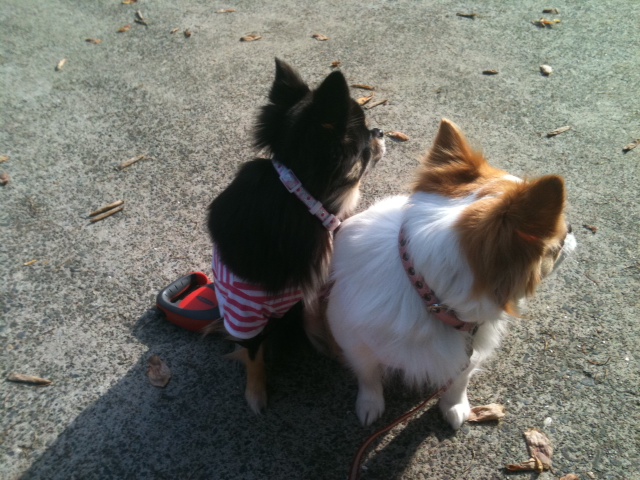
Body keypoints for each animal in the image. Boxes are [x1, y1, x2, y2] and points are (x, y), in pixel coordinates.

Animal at [207, 58, 385, 413]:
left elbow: (318, 321)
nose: (382, 132)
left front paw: (337, 351)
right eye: (366, 143)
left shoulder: (313, 288)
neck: (299, 200)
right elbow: (253, 353)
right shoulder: (244, 314)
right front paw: (255, 392)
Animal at [325, 119, 576, 429]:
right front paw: (370, 404)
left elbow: (459, 381)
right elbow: (368, 376)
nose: (573, 230)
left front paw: (455, 406)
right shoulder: (353, 340)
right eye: (559, 242)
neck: (428, 297)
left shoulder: (471, 351)